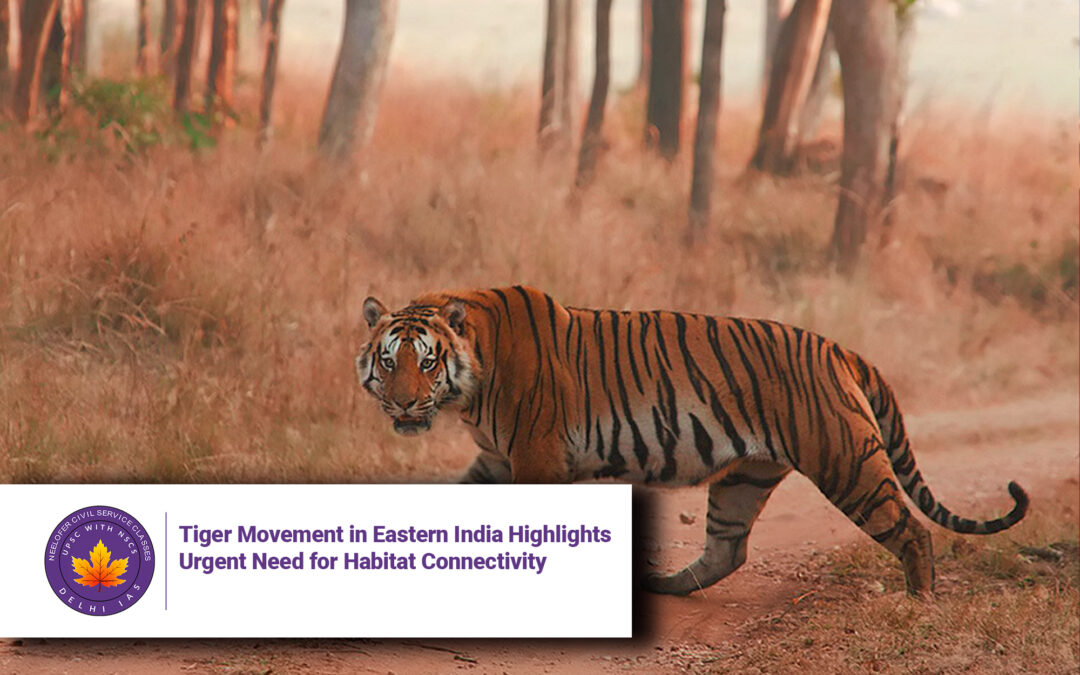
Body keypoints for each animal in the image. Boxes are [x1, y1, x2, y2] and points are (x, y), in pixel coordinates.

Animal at [355, 285, 1028, 597]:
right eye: (389, 361)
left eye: (427, 362)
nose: (405, 404)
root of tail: (838, 347)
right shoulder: (498, 460)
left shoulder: (535, 458)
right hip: (746, 476)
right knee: (728, 549)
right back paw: (666, 586)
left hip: (848, 463)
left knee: (911, 529)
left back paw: (919, 602)